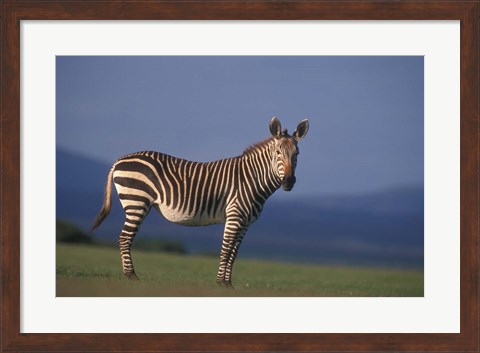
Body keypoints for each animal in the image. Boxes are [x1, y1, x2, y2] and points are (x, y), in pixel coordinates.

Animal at [92, 117, 310, 288]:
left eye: (296, 154)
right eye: (278, 153)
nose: (288, 181)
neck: (253, 179)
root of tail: (120, 160)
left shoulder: (245, 223)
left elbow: (234, 253)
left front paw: (229, 285)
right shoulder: (235, 216)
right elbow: (226, 249)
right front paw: (221, 283)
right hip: (136, 201)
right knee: (124, 238)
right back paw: (131, 276)